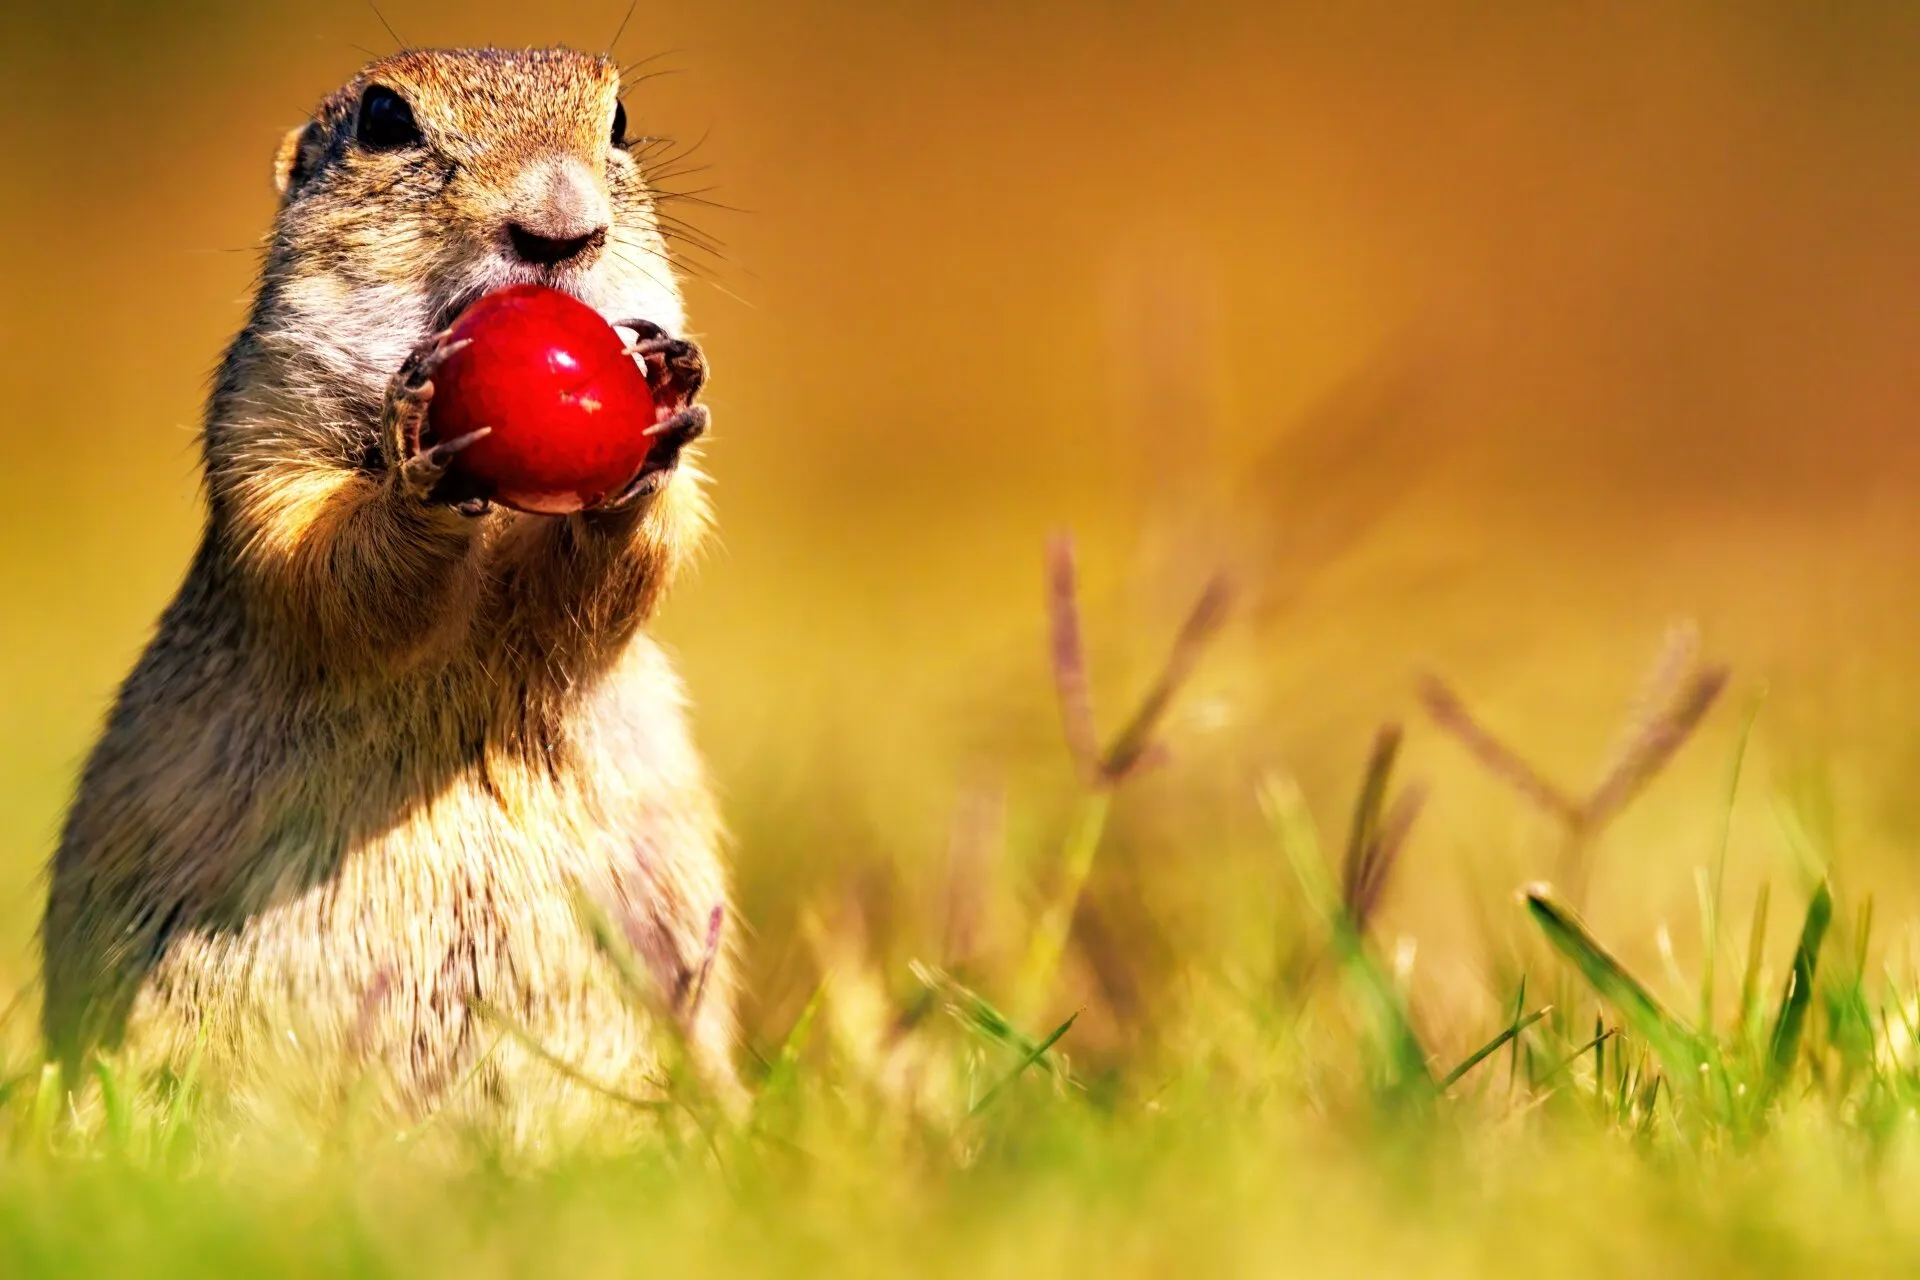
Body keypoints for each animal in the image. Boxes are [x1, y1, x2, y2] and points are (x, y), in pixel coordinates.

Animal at [41, 46, 737, 1134]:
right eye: (383, 119)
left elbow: (630, 566)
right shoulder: (265, 424)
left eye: (619, 121)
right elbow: (320, 559)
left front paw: (664, 395)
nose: (562, 226)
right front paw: (420, 463)